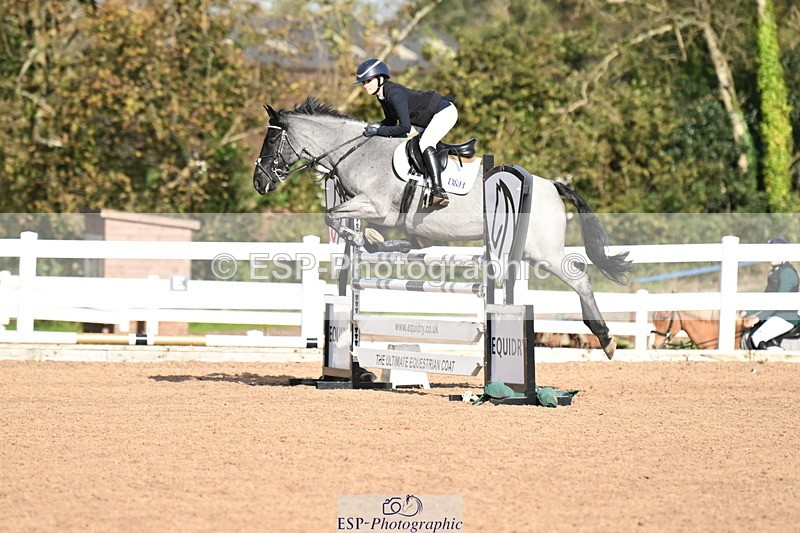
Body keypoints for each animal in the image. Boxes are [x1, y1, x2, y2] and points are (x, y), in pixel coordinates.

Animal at [252, 97, 632, 358]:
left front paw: (367, 237)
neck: (357, 153)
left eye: (270, 142)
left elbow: (334, 217)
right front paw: (381, 243)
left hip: (543, 250)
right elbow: (358, 227)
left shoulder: (376, 207)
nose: (259, 182)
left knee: (580, 277)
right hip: (528, 251)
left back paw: (606, 338)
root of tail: (551, 184)